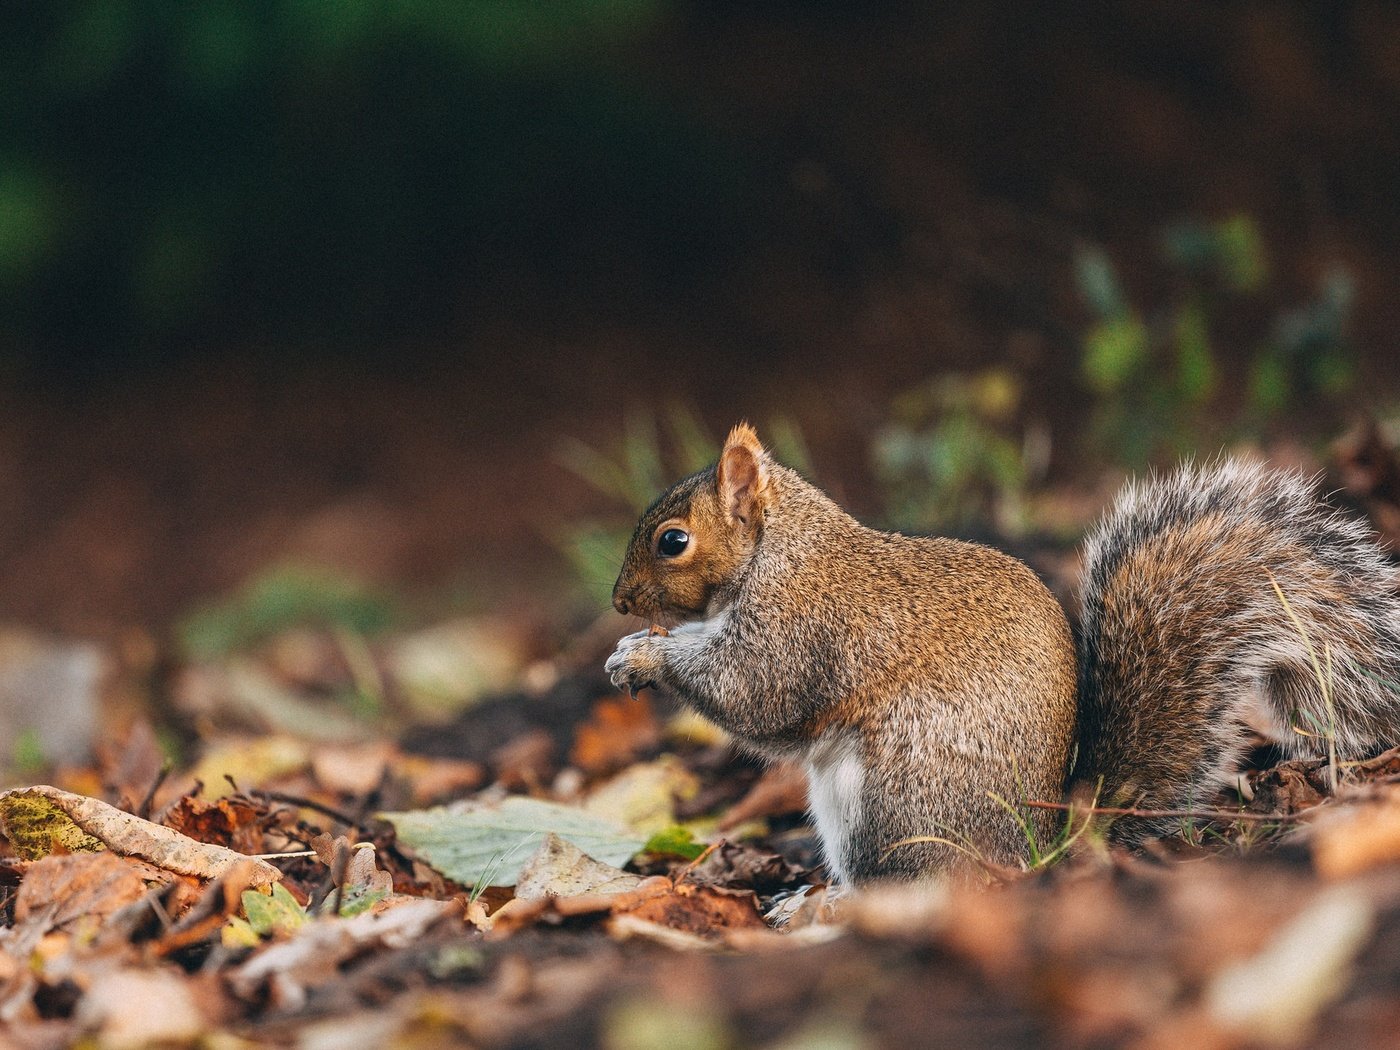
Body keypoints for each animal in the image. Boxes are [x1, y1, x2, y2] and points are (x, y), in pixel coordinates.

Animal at [607, 422, 1400, 884]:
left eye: (673, 541)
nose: (618, 601)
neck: (778, 554)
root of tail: (1041, 845)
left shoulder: (799, 629)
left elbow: (754, 694)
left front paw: (646, 659)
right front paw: (631, 648)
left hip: (900, 804)